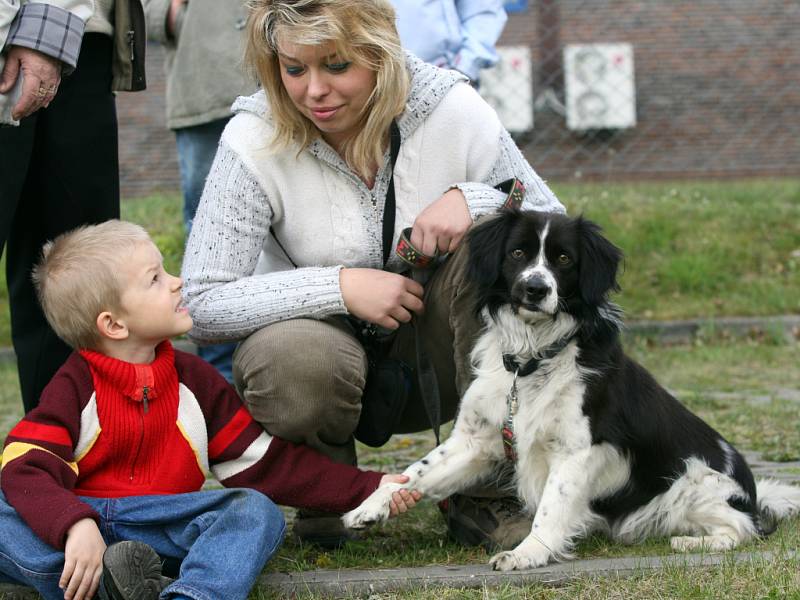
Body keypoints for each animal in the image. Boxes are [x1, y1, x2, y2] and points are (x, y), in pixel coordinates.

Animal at [344, 209, 800, 568]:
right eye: (517, 253)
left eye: (563, 259)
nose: (536, 288)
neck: (530, 360)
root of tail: (752, 494)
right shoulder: (476, 439)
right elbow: (416, 471)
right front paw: (371, 506)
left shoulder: (576, 450)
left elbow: (551, 506)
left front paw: (528, 553)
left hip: (696, 484)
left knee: (745, 528)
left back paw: (692, 543)